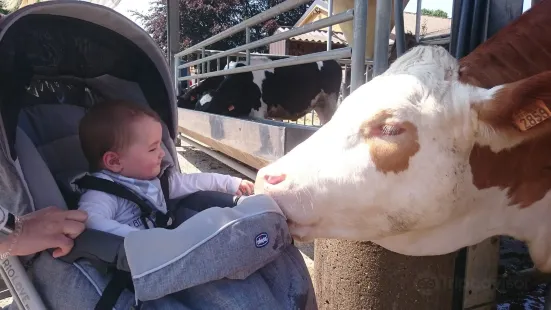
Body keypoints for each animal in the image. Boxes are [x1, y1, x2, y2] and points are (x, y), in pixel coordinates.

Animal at [183, 57, 342, 125]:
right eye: (196, 107)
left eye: (211, 110)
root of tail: (334, 62)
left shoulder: (259, 112)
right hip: (320, 105)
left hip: (330, 102)